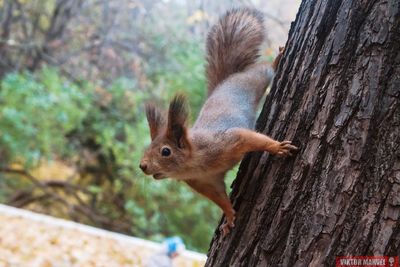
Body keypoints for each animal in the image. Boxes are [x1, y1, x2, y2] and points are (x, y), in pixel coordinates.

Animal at [140, 7, 296, 236]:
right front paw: (229, 217)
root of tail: (224, 82)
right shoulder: (206, 182)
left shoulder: (227, 141)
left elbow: (249, 138)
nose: (142, 166)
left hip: (253, 80)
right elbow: (220, 198)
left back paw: (278, 58)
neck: (194, 163)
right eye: (147, 148)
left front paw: (276, 147)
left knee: (263, 70)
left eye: (165, 151)